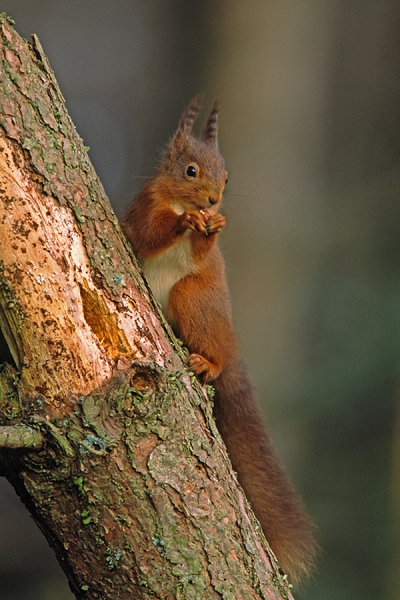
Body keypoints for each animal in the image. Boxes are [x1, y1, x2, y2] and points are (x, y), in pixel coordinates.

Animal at [120, 97, 318, 580]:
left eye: (228, 177)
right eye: (191, 170)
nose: (213, 201)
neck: (178, 202)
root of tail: (231, 343)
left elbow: (201, 249)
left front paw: (215, 224)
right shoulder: (144, 207)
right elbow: (151, 234)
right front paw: (185, 223)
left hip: (196, 300)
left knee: (216, 353)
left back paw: (209, 362)